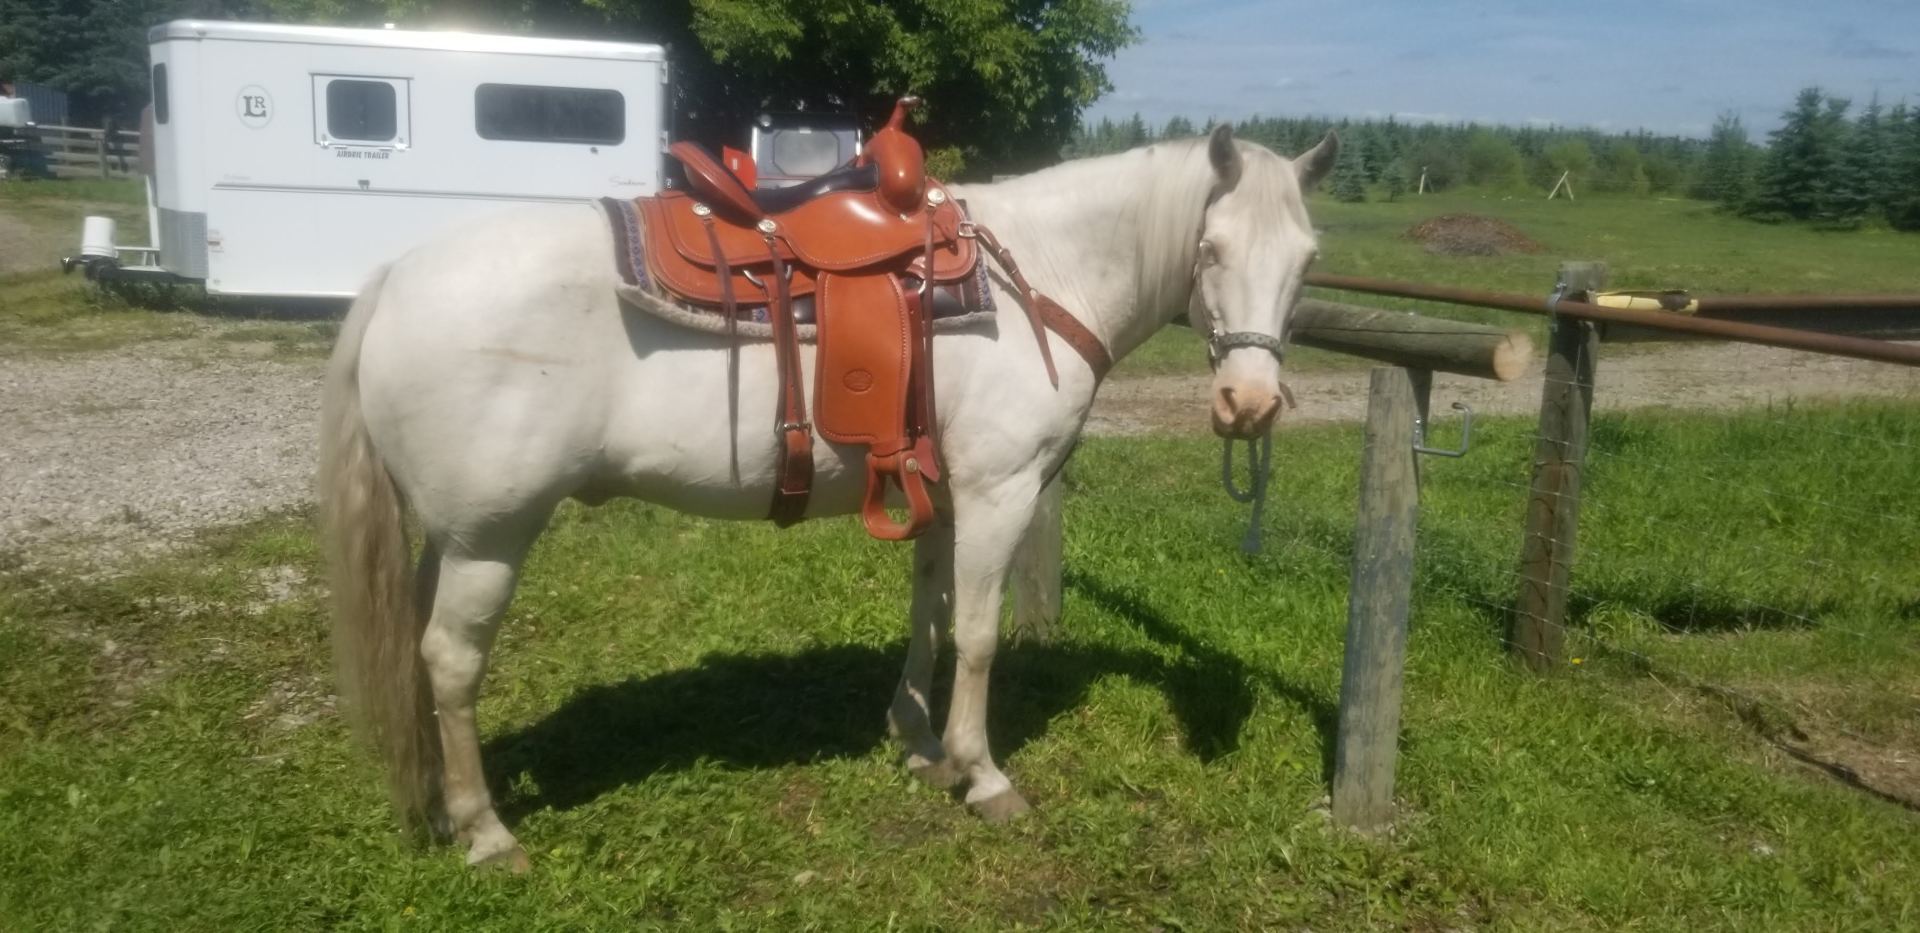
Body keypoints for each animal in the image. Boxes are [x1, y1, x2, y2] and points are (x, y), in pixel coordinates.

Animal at [320, 123, 1337, 870]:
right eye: (1210, 249)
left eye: (1308, 259)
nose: (1248, 404)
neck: (1042, 275)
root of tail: (395, 277)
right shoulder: (1000, 491)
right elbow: (977, 636)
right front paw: (981, 772)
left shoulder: (946, 496)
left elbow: (930, 615)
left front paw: (917, 742)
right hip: (491, 538)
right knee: (451, 661)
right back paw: (486, 831)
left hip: (450, 538)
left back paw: (441, 805)